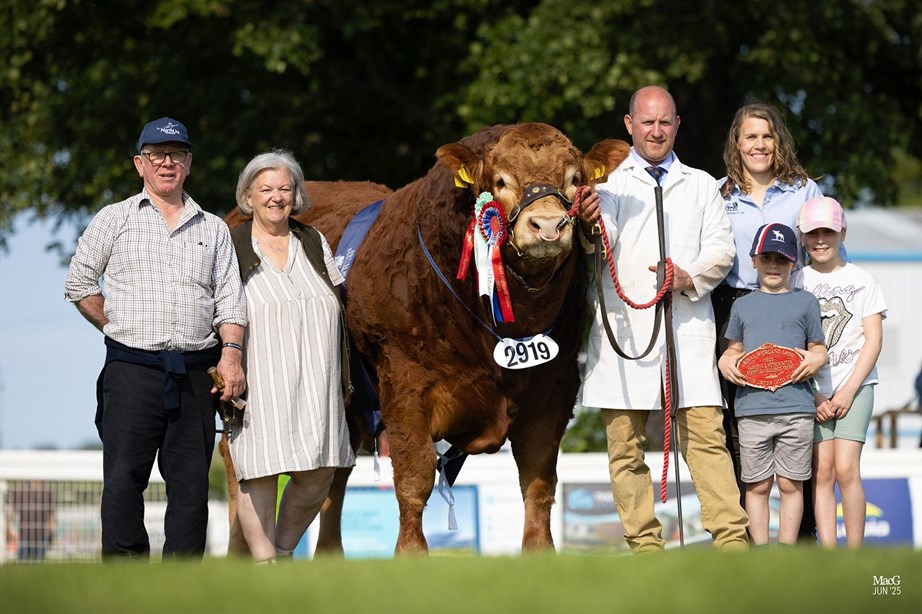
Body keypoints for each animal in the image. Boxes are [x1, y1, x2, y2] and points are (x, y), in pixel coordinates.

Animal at [223, 125, 629, 554]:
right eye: (501, 181)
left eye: (574, 179)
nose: (548, 225)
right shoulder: (405, 385)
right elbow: (415, 476)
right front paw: (411, 553)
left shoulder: (555, 388)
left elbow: (538, 481)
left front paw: (539, 551)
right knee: (240, 477)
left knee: (332, 480)